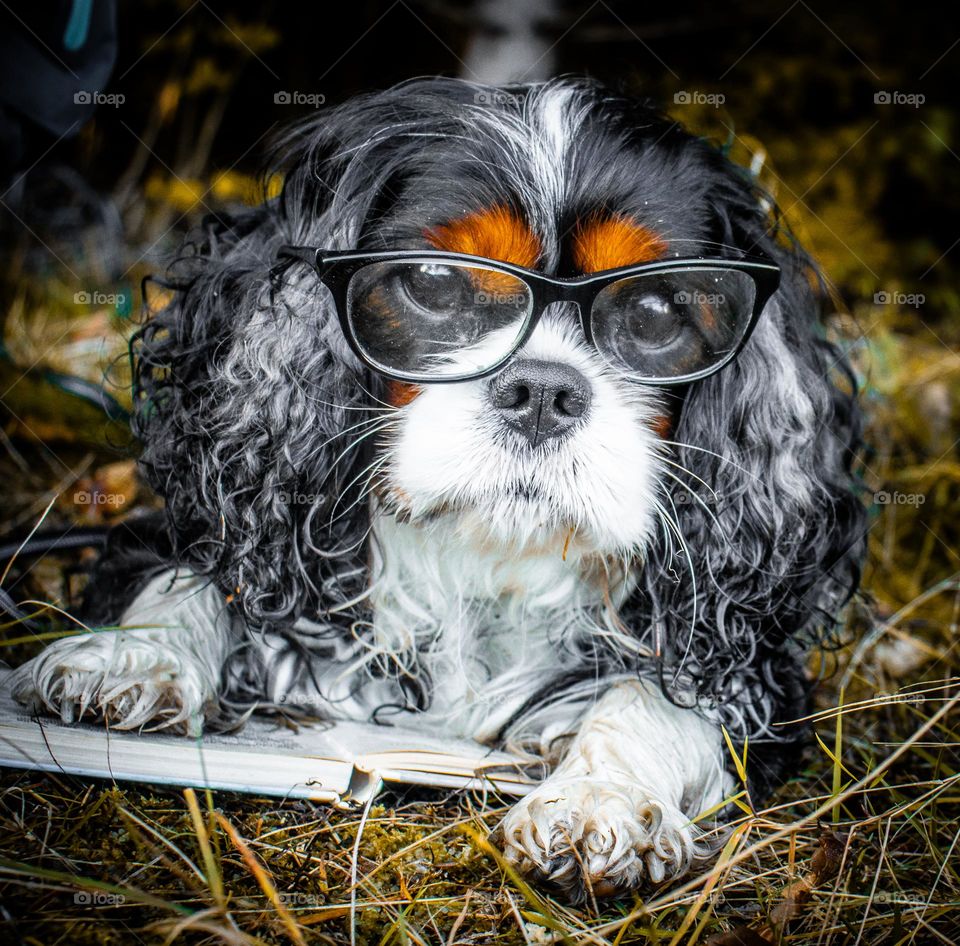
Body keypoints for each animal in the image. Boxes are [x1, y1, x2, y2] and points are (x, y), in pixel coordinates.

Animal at [9, 79, 864, 900]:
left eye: (655, 311)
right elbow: (194, 570)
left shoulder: (757, 670)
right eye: (433, 282)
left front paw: (599, 801)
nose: (543, 392)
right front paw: (130, 658)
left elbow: (656, 695)